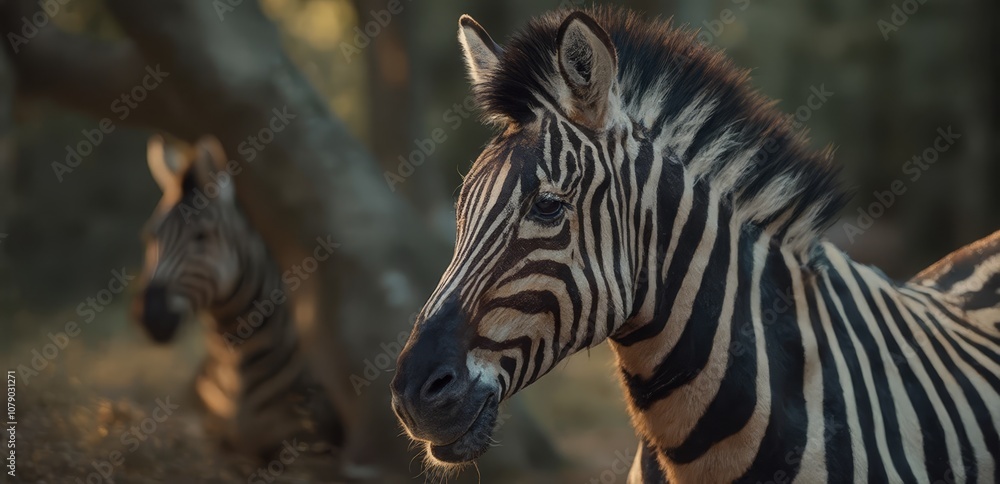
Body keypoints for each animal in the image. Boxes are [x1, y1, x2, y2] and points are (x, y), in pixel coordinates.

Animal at [133, 135, 341, 460]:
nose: (150, 316)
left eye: (202, 236)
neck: (233, 359)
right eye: (150, 237)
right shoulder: (223, 445)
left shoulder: (305, 445)